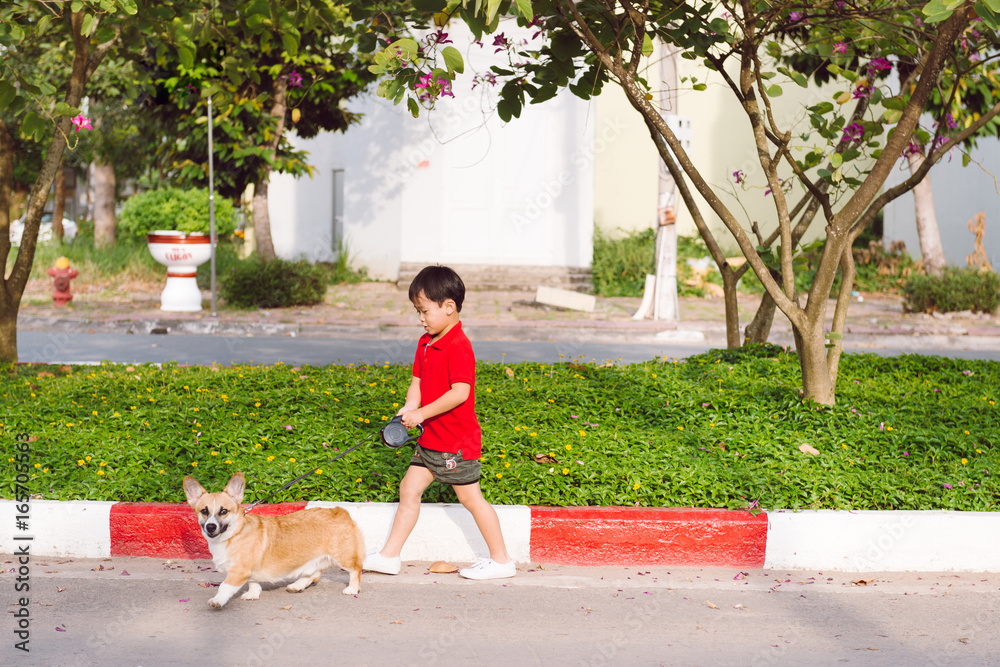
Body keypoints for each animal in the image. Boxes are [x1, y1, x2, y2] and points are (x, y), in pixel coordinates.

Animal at [183, 472, 364, 608]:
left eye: (224, 511)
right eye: (204, 511)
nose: (210, 527)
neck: (233, 534)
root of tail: (341, 511)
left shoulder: (238, 571)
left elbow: (224, 587)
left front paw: (217, 600)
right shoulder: (249, 572)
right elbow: (253, 582)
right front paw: (252, 594)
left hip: (342, 556)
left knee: (356, 569)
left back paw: (352, 589)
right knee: (315, 573)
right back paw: (297, 585)